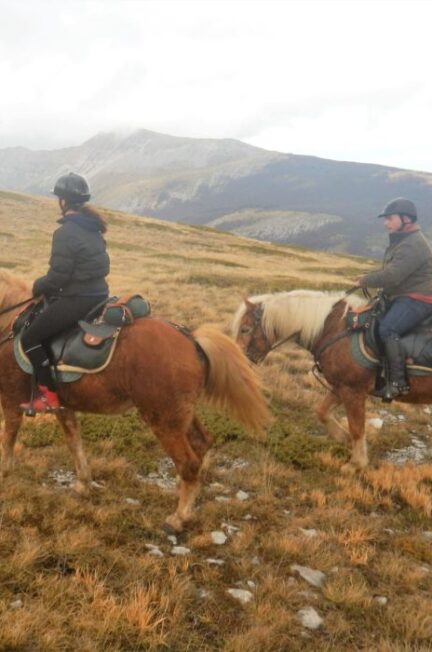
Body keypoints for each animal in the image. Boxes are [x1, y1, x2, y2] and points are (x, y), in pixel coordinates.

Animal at [0, 270, 270, 528]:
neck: (9, 322)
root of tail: (191, 339)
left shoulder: (11, 401)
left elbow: (8, 440)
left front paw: (5, 474)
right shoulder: (63, 407)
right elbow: (74, 442)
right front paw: (82, 483)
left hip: (163, 420)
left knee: (188, 463)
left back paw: (178, 519)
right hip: (182, 415)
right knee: (201, 444)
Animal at [233, 290, 432, 474]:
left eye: (245, 329)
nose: (239, 362)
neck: (334, 329)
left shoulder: (353, 390)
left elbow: (357, 427)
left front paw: (355, 464)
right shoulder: (339, 387)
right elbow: (322, 411)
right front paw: (343, 438)